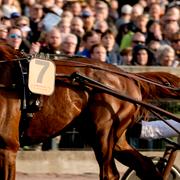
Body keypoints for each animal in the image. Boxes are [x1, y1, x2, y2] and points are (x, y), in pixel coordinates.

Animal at [0, 44, 179, 180]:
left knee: (109, 174)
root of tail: (130, 77)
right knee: (145, 165)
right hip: (112, 137)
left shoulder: (8, 146)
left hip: (103, 133)